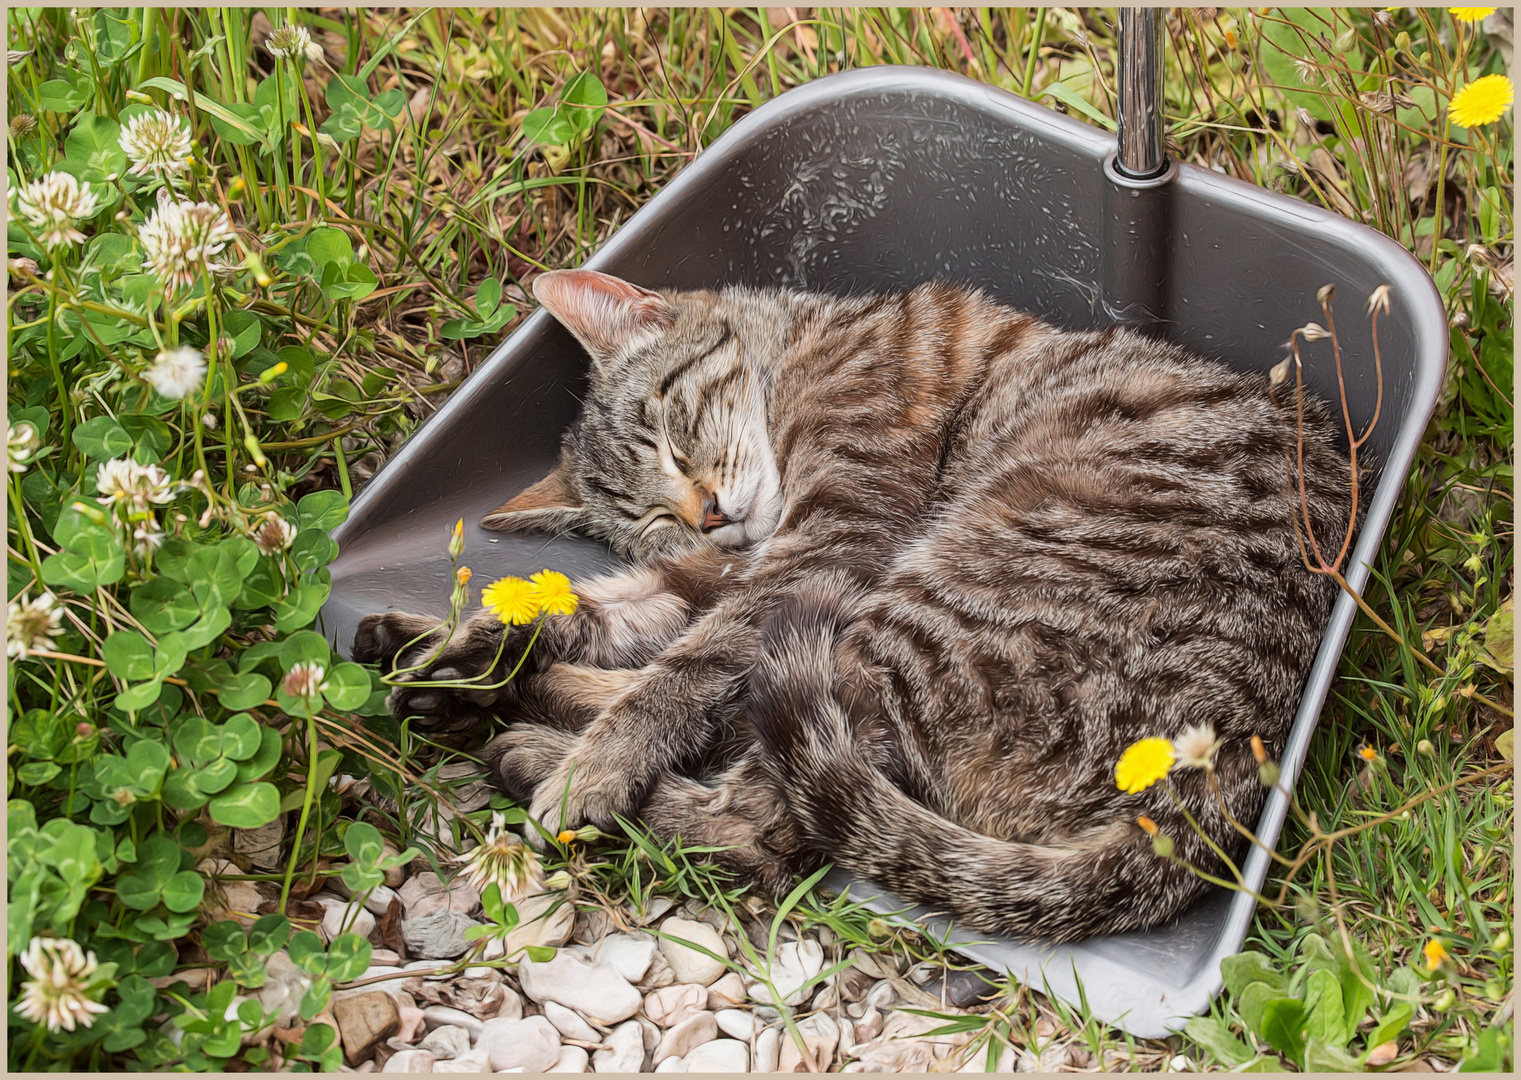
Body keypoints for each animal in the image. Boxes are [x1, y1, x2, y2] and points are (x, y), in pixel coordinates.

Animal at [355, 270, 1356, 949]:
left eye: (673, 439)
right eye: (647, 520)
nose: (707, 517)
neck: (802, 350)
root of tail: (1218, 772)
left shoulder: (827, 544)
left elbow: (679, 675)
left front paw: (595, 764)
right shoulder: (718, 572)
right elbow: (599, 613)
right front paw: (463, 649)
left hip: (913, 611)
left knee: (763, 825)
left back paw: (535, 748)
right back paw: (477, 689)